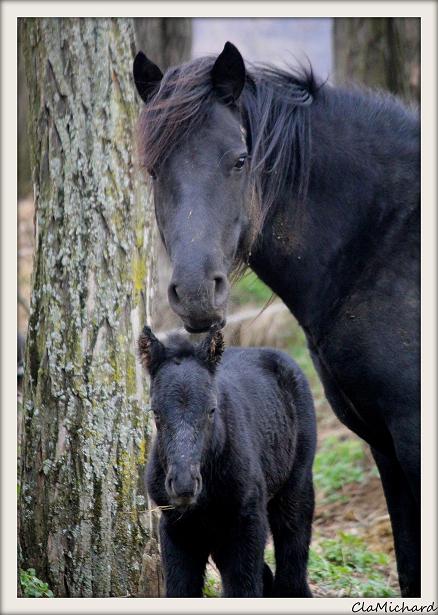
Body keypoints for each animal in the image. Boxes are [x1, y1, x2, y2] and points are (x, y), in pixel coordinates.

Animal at [139, 328, 316, 596]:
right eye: (156, 412)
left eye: (212, 410)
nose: (183, 484)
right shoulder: (176, 528)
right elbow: (182, 588)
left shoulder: (248, 520)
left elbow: (244, 587)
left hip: (296, 482)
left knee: (293, 541)